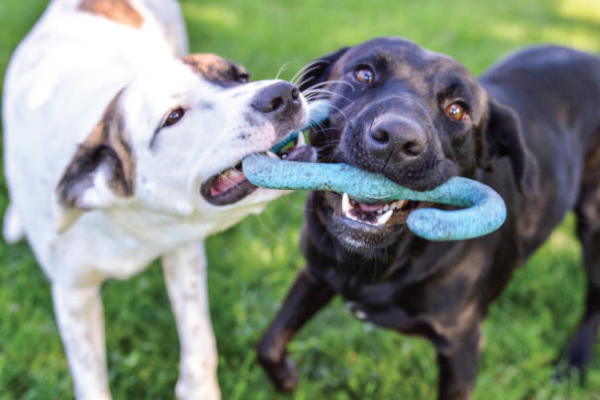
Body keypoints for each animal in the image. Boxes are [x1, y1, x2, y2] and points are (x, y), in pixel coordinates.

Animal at [2, 1, 314, 399]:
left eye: (241, 77)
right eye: (173, 116)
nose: (283, 94)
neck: (123, 216)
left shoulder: (184, 250)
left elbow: (199, 342)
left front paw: (199, 390)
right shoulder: (73, 294)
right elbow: (90, 375)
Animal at [256, 37, 600, 400]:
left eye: (457, 110)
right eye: (364, 74)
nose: (395, 139)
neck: (377, 264)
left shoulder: (461, 345)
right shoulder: (316, 273)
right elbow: (269, 343)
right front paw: (288, 379)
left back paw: (574, 362)